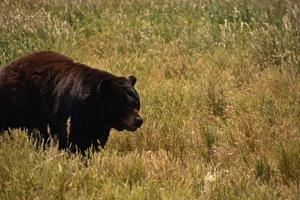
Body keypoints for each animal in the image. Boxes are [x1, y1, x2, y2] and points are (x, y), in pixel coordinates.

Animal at [0, 51, 143, 153]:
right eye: (124, 104)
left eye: (137, 104)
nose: (139, 120)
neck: (93, 108)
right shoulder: (68, 112)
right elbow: (69, 139)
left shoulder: (97, 124)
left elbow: (93, 142)